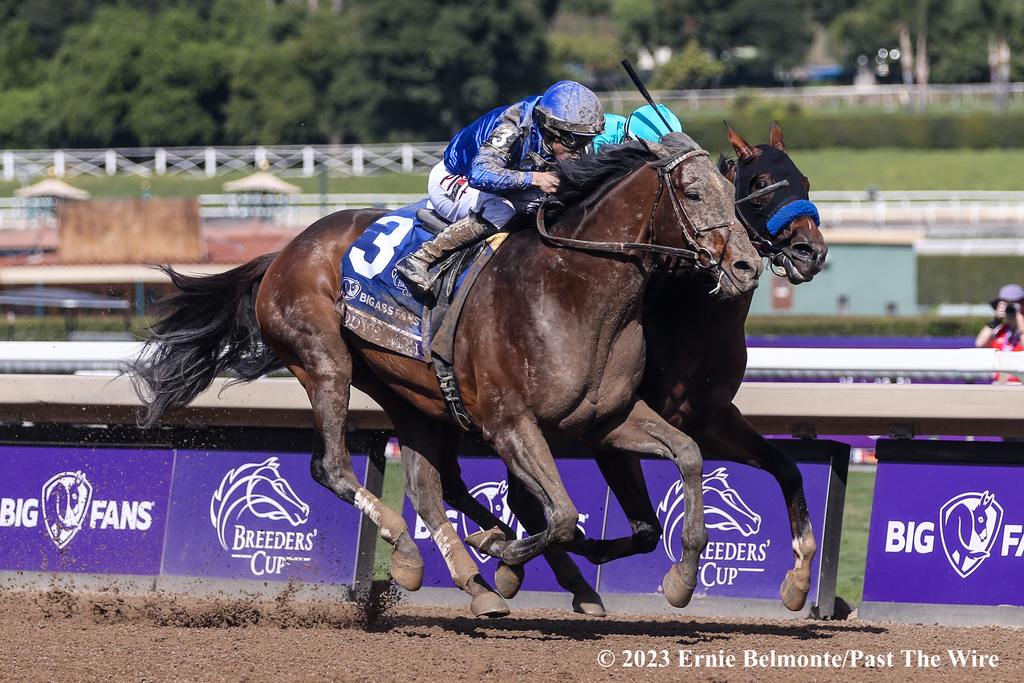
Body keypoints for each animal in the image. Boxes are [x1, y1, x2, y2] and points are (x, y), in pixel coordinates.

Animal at [132, 136, 765, 618]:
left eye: (733, 192)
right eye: (692, 191)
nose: (747, 265)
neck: (572, 291)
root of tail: (285, 250)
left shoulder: (604, 420)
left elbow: (687, 455)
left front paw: (681, 579)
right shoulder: (510, 423)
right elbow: (560, 516)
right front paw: (508, 558)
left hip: (410, 394)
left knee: (429, 488)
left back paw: (463, 576)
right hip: (325, 362)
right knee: (332, 466)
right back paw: (421, 552)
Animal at [448, 121, 831, 614]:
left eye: (804, 180)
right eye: (760, 186)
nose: (810, 252)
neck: (690, 322)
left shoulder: (709, 420)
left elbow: (786, 467)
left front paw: (798, 579)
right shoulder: (605, 432)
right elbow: (643, 527)